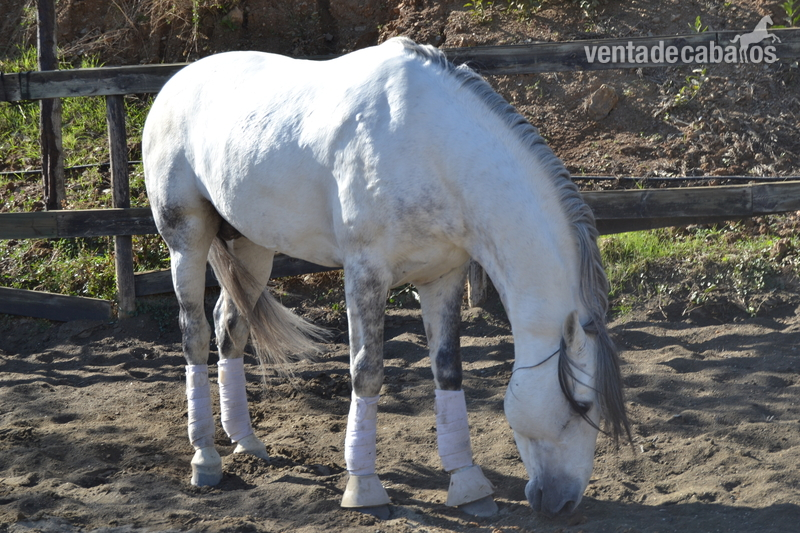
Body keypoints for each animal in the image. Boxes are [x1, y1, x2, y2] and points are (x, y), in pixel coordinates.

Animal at [142, 37, 630, 518]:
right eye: (582, 404)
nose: (562, 501)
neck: (433, 149)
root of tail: (174, 85)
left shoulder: (443, 276)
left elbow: (448, 370)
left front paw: (468, 483)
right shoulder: (366, 274)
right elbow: (367, 372)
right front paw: (364, 487)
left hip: (252, 246)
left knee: (230, 327)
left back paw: (246, 440)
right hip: (187, 240)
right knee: (195, 334)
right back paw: (206, 457)